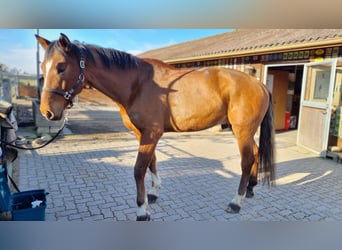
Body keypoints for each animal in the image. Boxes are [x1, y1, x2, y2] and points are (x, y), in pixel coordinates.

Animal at [36, 32, 276, 221]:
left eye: (61, 67)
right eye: (43, 67)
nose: (47, 112)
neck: (138, 84)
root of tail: (260, 84)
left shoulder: (151, 134)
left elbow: (139, 169)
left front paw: (142, 210)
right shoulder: (141, 134)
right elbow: (152, 162)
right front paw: (153, 194)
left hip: (242, 130)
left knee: (246, 161)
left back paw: (236, 202)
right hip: (244, 131)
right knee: (255, 153)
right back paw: (251, 188)